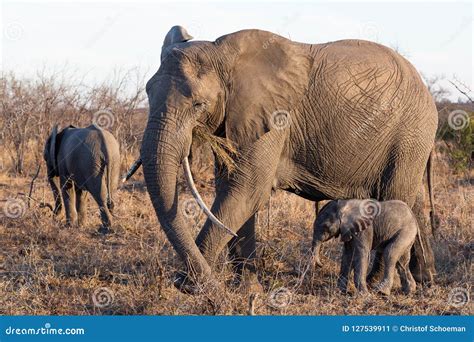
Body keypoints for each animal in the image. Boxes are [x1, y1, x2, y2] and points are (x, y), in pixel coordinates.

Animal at [140, 25, 436, 292]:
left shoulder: (274, 118)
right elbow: (234, 188)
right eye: (147, 92)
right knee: (414, 199)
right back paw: (425, 279)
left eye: (198, 105)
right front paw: (248, 290)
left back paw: (377, 284)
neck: (222, 53)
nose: (182, 282)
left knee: (395, 193)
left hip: (410, 132)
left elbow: (247, 190)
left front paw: (194, 286)